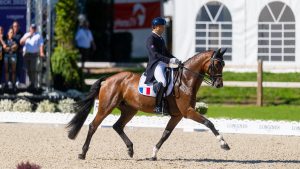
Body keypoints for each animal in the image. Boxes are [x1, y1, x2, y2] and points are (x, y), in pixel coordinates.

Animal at [67, 48, 230, 160]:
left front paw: (153, 154)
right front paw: (224, 144)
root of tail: (108, 79)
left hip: (130, 110)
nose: (219, 84)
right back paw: (82, 153)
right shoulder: (188, 111)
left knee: (117, 126)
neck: (185, 80)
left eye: (223, 64)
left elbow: (166, 134)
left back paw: (130, 150)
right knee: (93, 126)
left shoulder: (177, 115)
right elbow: (209, 123)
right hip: (106, 107)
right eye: (217, 64)